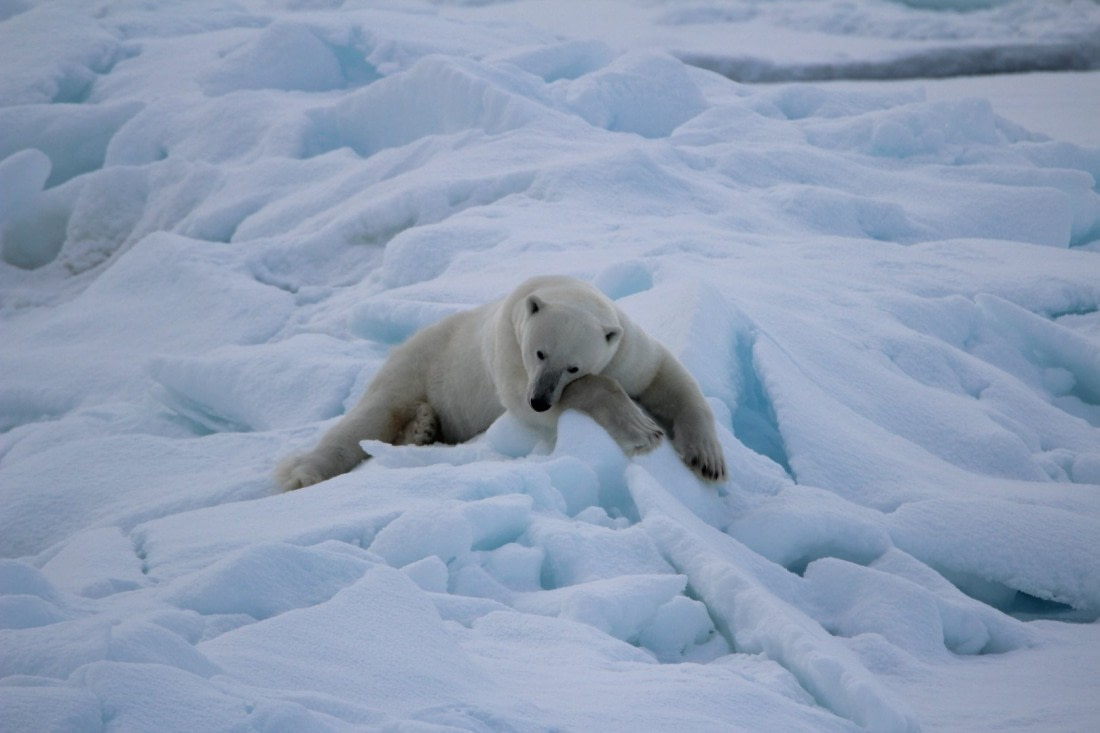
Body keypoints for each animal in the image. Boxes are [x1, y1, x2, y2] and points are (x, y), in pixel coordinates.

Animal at [277, 275, 726, 491]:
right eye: (540, 353)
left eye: (574, 366)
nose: (541, 399)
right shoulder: (509, 353)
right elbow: (553, 401)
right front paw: (643, 431)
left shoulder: (626, 345)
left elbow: (666, 375)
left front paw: (708, 460)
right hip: (417, 366)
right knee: (368, 419)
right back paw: (302, 474)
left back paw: (423, 428)